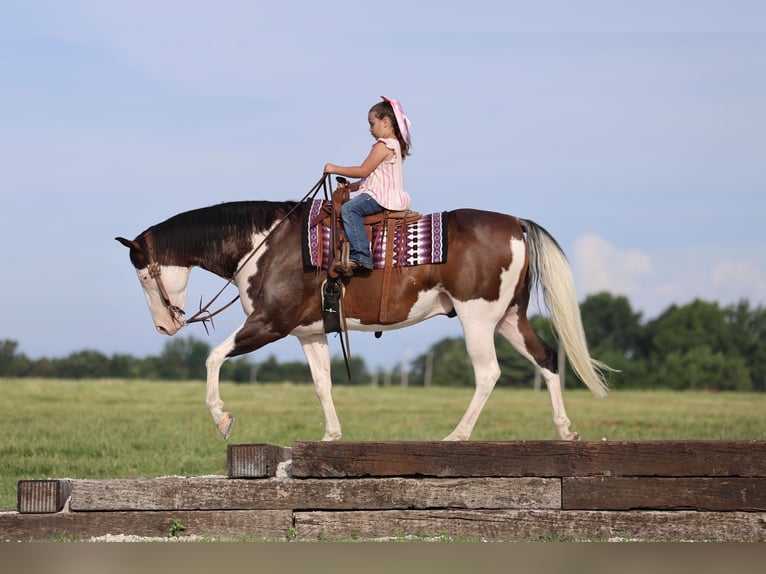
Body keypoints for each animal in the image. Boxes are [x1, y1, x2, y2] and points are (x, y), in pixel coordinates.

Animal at [116, 196, 610, 442]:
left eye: (141, 273)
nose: (164, 326)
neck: (266, 243)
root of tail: (515, 223)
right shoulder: (308, 334)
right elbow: (322, 384)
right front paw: (331, 435)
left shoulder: (269, 323)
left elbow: (214, 357)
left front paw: (222, 418)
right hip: (509, 317)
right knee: (547, 357)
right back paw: (565, 429)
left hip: (477, 318)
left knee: (488, 373)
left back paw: (457, 435)